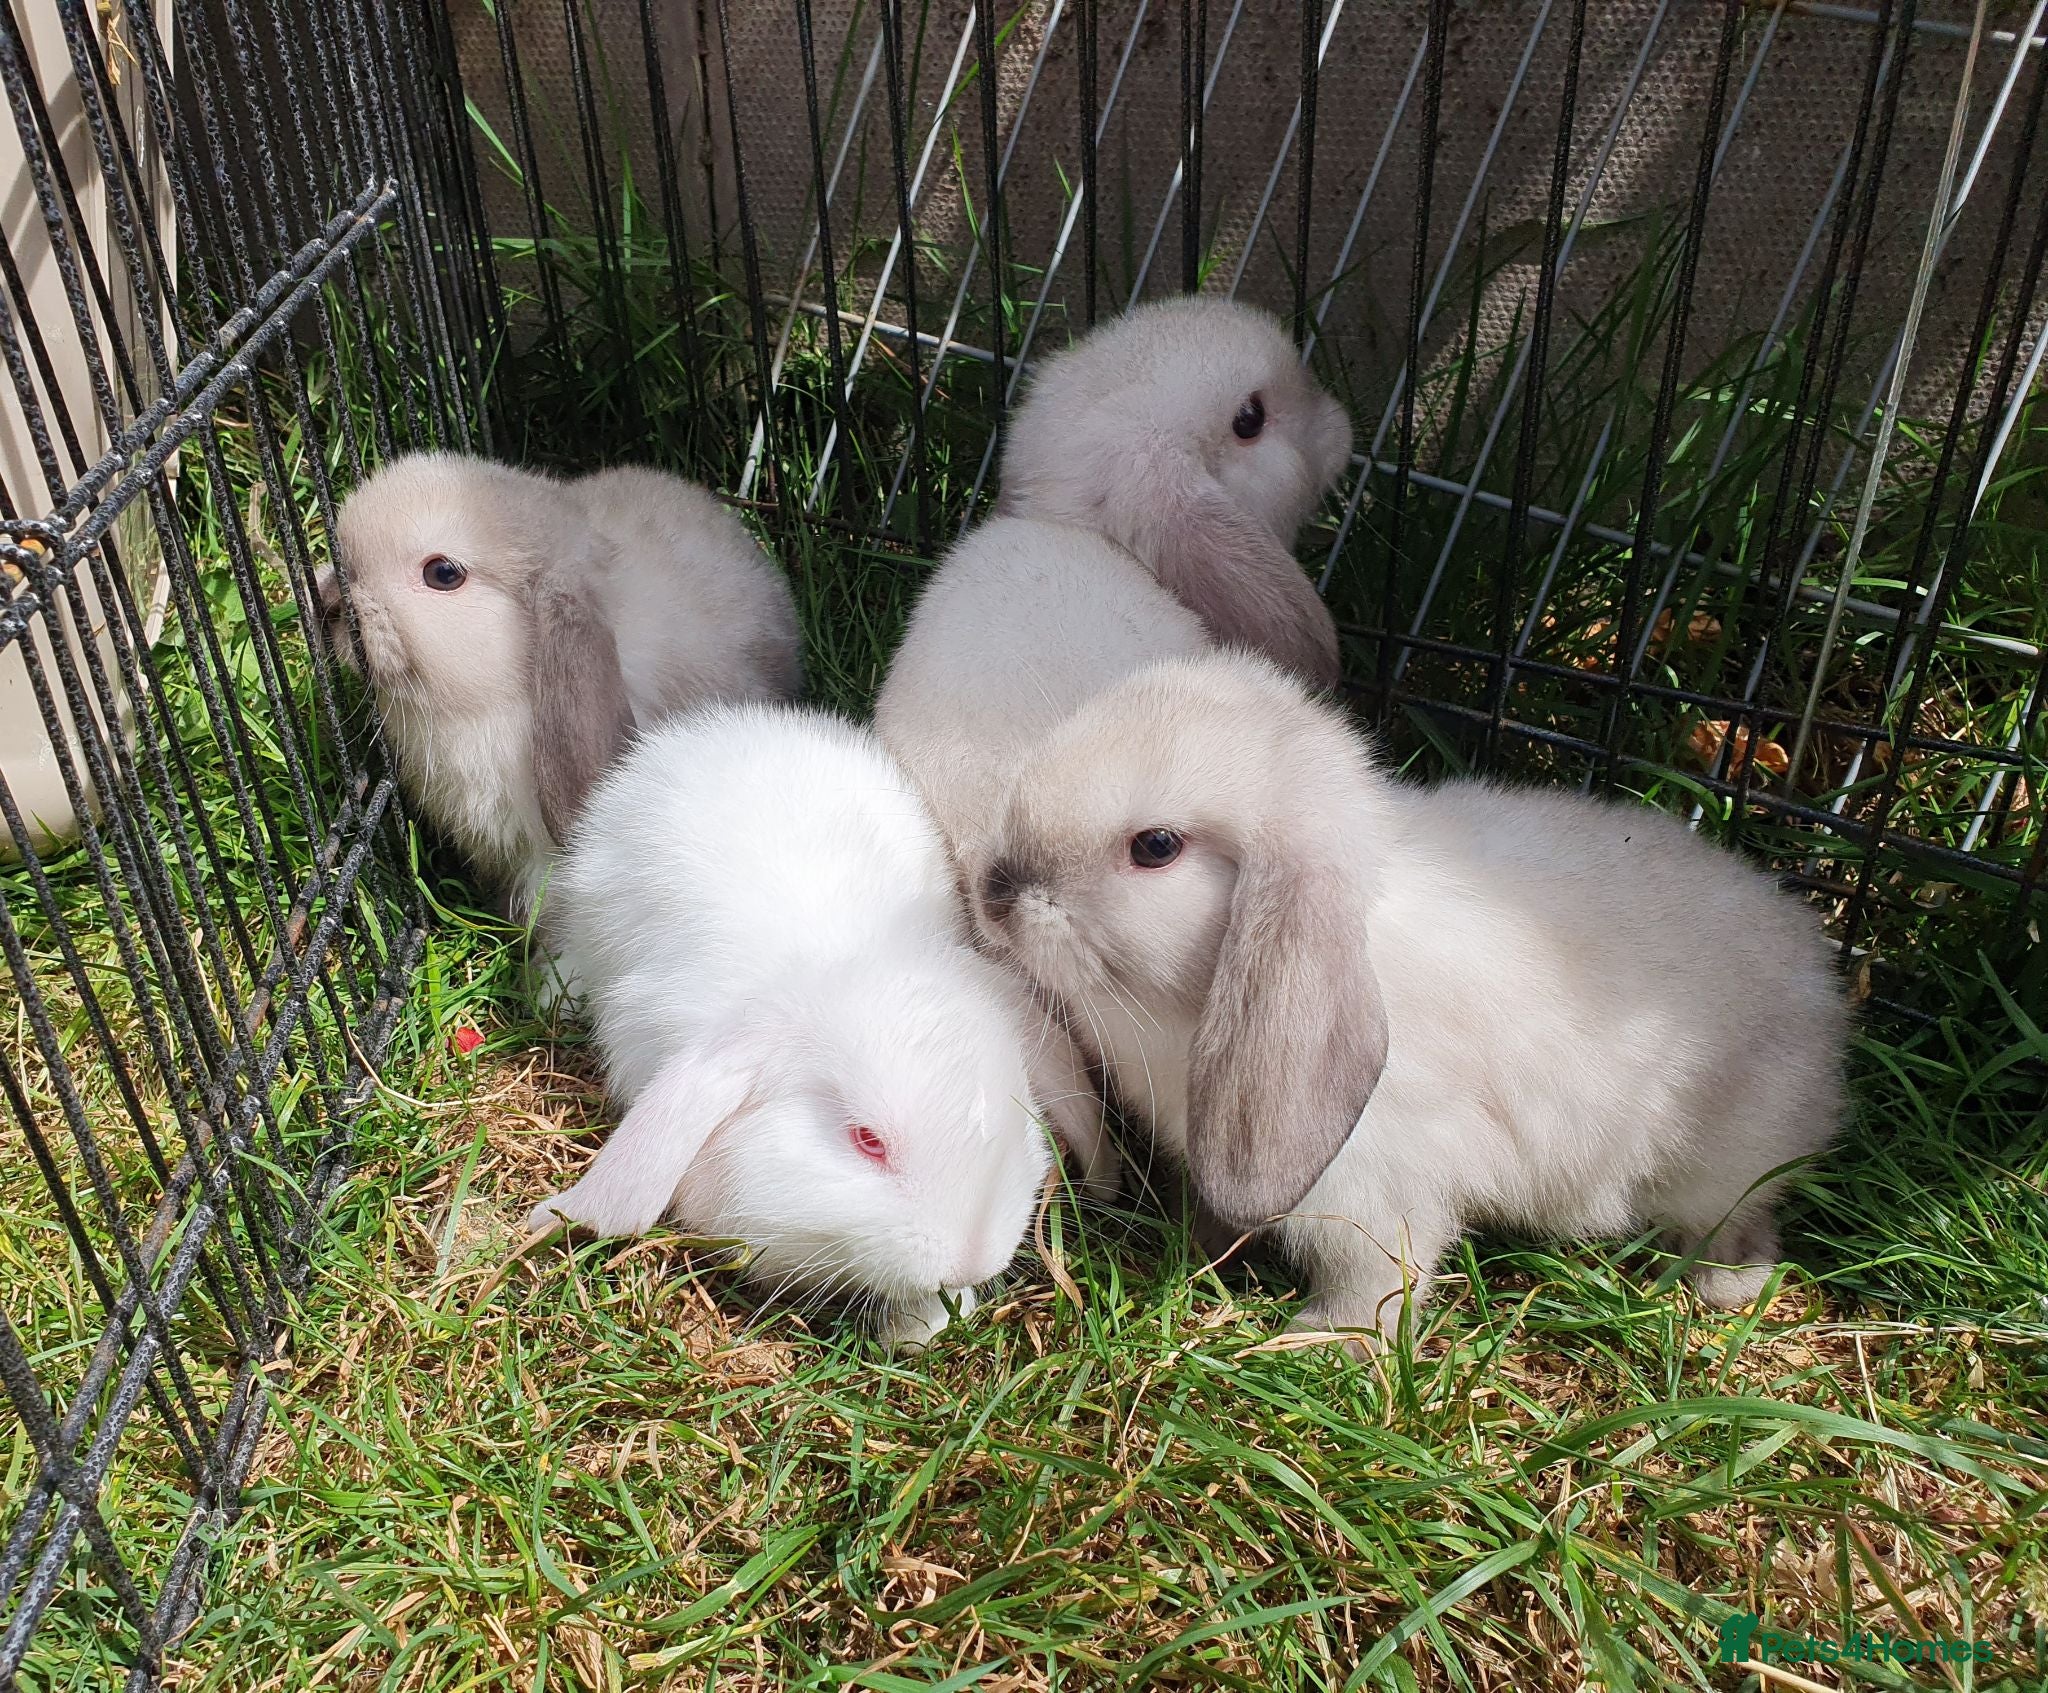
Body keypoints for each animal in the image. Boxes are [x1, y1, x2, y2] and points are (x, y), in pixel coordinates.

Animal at [966, 649, 1847, 1348]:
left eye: (1156, 846)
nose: (996, 888)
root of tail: (1820, 985)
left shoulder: (1376, 1186)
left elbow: (1382, 1276)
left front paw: (1319, 1343)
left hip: (1723, 1165)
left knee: (1746, 1219)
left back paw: (1724, 1284)